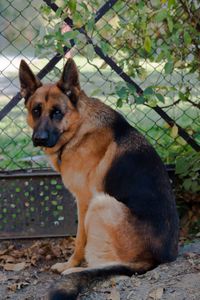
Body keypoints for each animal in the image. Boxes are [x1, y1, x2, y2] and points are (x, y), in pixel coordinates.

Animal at [19, 57, 178, 298]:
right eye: (36, 110)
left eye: (57, 112)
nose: (39, 138)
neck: (78, 129)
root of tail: (153, 260)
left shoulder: (84, 201)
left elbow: (80, 240)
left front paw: (69, 264)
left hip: (101, 204)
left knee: (107, 264)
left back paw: (75, 271)